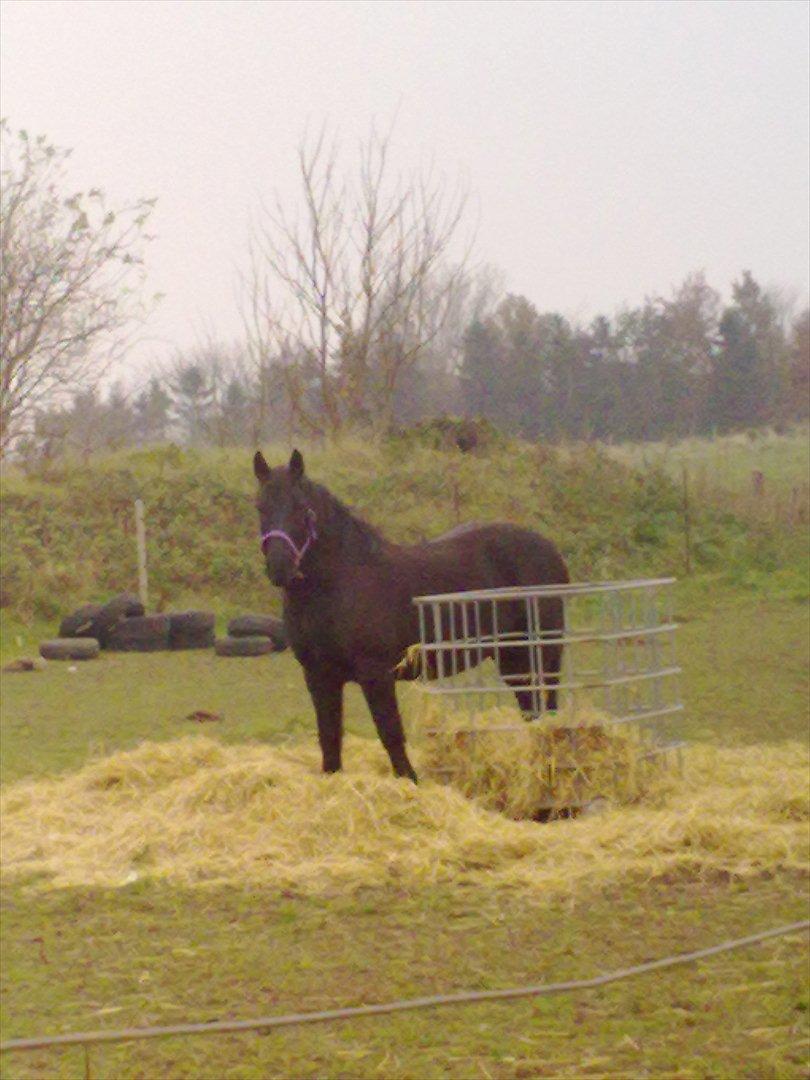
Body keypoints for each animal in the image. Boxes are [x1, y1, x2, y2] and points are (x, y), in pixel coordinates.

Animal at [254, 449, 570, 782]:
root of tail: (550, 550)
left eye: (302, 507)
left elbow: (390, 733)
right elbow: (329, 739)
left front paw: (410, 781)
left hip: (541, 652)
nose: (279, 567)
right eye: (260, 506)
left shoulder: (376, 674)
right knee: (530, 708)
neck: (340, 582)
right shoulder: (318, 676)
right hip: (512, 657)